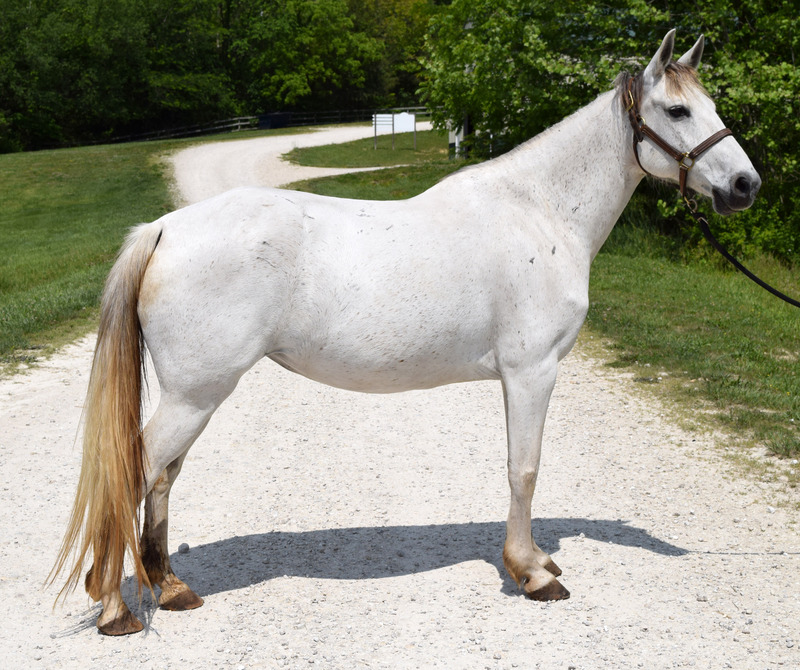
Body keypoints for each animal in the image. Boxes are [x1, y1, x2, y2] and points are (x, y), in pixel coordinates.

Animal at [53, 31, 760, 636]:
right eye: (676, 110)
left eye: (712, 105)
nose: (745, 185)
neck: (541, 211)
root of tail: (164, 228)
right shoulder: (531, 371)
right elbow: (524, 468)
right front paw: (531, 573)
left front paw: (535, 560)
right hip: (195, 394)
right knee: (133, 473)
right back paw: (116, 606)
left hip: (194, 397)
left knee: (162, 477)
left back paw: (169, 588)